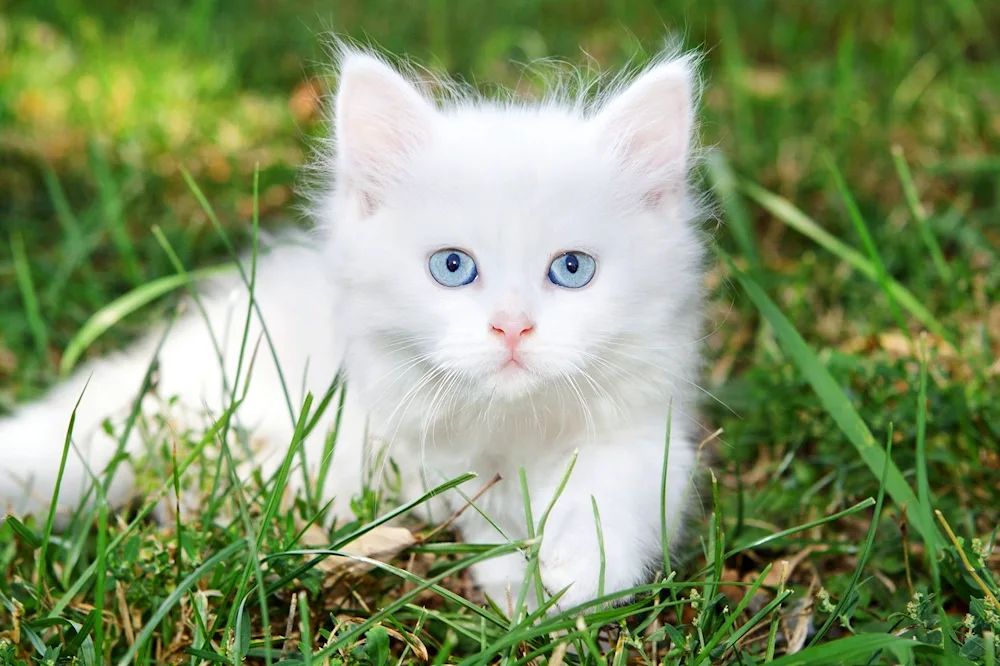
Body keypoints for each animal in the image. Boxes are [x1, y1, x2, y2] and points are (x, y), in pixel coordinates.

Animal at [0, 46, 708, 612]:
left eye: (571, 269)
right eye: (453, 267)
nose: (512, 328)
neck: (500, 429)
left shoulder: (647, 435)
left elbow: (616, 500)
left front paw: (564, 579)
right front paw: (516, 570)